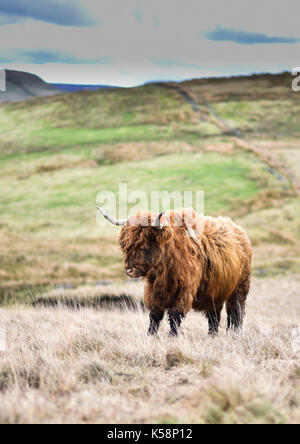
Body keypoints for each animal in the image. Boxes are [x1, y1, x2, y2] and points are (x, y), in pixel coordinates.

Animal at [98, 208, 251, 336]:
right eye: (125, 246)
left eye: (143, 246)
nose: (129, 270)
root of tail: (241, 233)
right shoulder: (154, 290)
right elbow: (155, 315)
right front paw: (150, 335)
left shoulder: (184, 290)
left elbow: (175, 315)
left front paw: (172, 336)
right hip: (215, 291)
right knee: (214, 315)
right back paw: (212, 335)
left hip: (240, 288)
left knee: (236, 312)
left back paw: (235, 333)